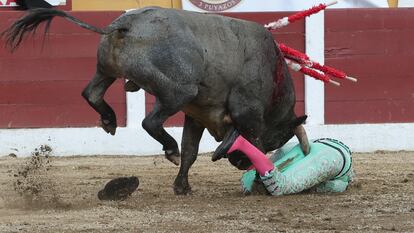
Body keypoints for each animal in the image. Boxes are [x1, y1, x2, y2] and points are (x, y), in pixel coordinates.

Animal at [1, 7, 308, 195]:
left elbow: (191, 150)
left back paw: (109, 120)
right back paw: (168, 147)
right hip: (179, 92)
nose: (239, 163)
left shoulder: (196, 115)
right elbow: (254, 145)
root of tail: (124, 24)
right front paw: (260, 186)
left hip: (107, 70)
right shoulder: (249, 114)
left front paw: (182, 187)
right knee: (150, 121)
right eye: (277, 139)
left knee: (92, 93)